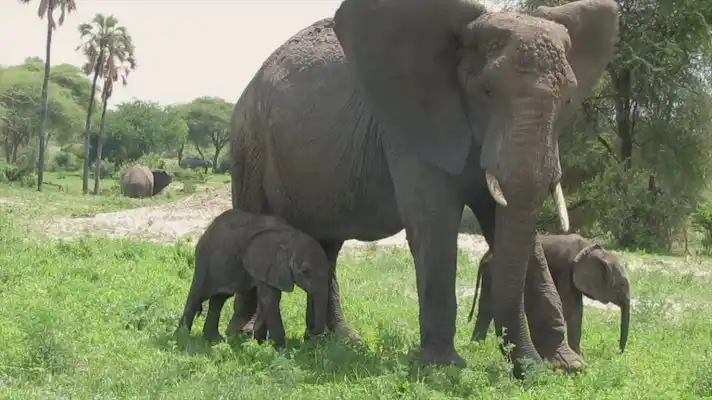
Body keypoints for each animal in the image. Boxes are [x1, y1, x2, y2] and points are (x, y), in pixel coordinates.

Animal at [177, 209, 330, 348]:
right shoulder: (267, 264)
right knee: (197, 295)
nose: (311, 331)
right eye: (305, 272)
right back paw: (182, 338)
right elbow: (269, 300)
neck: (291, 237)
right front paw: (280, 350)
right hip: (205, 258)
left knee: (219, 299)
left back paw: (215, 340)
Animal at [469, 234, 630, 355]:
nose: (618, 352)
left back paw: (477, 348)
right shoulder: (566, 269)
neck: (591, 248)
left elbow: (576, 310)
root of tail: (485, 256)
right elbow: (570, 309)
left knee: (485, 309)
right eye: (620, 285)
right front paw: (579, 356)